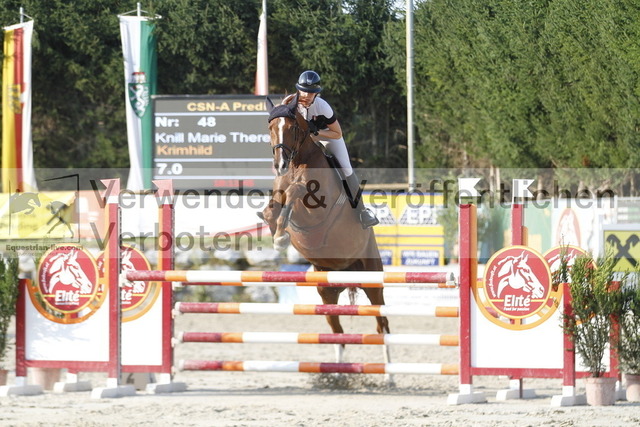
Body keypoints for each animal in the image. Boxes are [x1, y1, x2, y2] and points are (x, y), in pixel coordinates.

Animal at [260, 95, 389, 363]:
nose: (280, 164)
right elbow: (273, 208)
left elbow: (295, 192)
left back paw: (390, 369)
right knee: (337, 332)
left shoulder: (318, 210)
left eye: (292, 128)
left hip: (373, 280)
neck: (298, 162)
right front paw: (277, 233)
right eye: (270, 128)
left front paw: (281, 235)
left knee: (382, 325)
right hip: (326, 291)